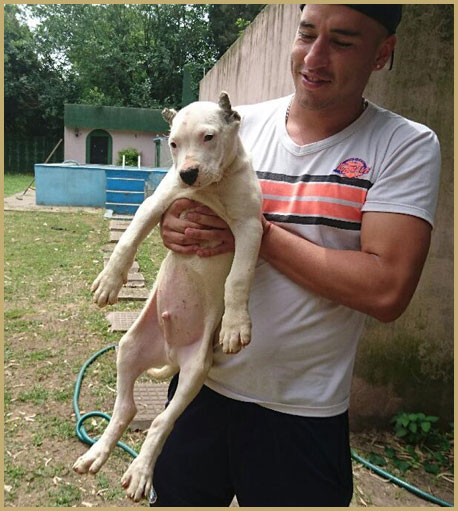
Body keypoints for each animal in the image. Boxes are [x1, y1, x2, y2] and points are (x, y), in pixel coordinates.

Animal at [73, 93, 262, 504]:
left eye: (209, 137)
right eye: (173, 144)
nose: (186, 174)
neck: (212, 188)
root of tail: (171, 353)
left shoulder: (251, 227)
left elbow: (239, 278)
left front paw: (235, 325)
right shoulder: (156, 205)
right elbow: (128, 240)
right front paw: (110, 282)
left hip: (194, 371)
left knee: (161, 421)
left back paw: (140, 472)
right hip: (129, 346)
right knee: (125, 408)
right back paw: (98, 452)